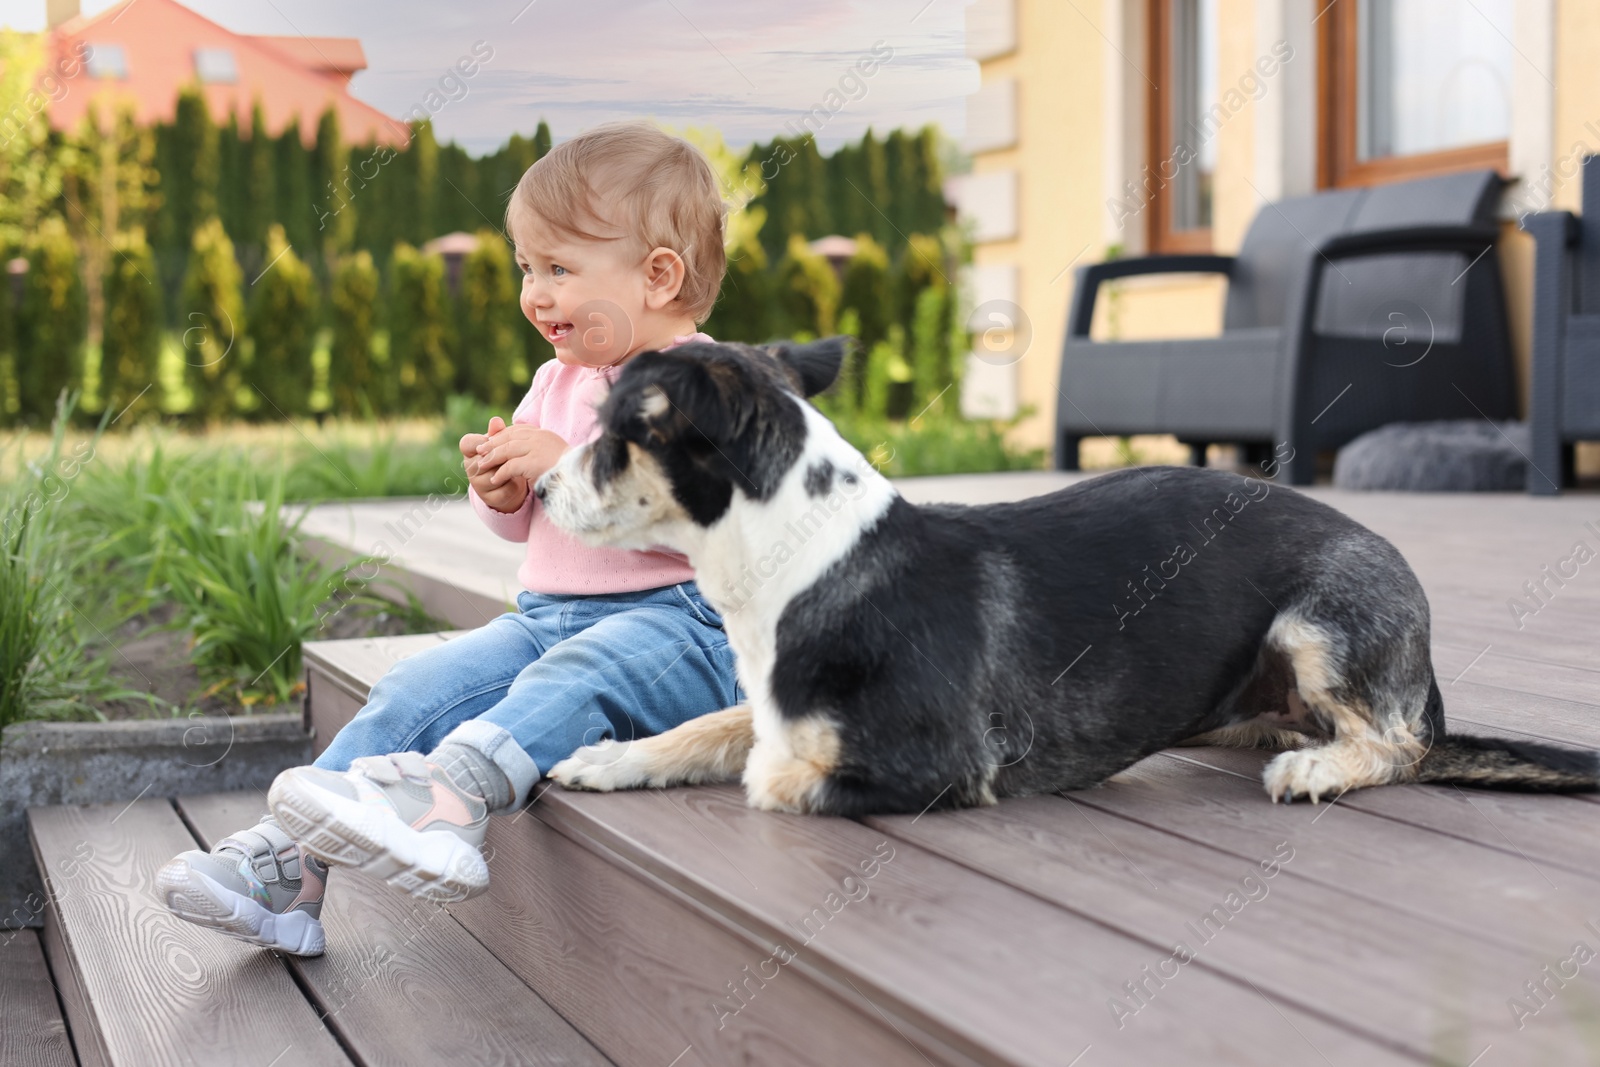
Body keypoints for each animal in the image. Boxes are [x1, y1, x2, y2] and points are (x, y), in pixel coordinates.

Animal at [540, 342, 1600, 819]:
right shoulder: (770, 707)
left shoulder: (936, 766)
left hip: (1321, 622)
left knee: (1399, 744)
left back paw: (1321, 767)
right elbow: (711, 726)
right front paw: (607, 758)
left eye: (614, 434)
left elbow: (770, 772)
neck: (803, 556)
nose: (538, 489)